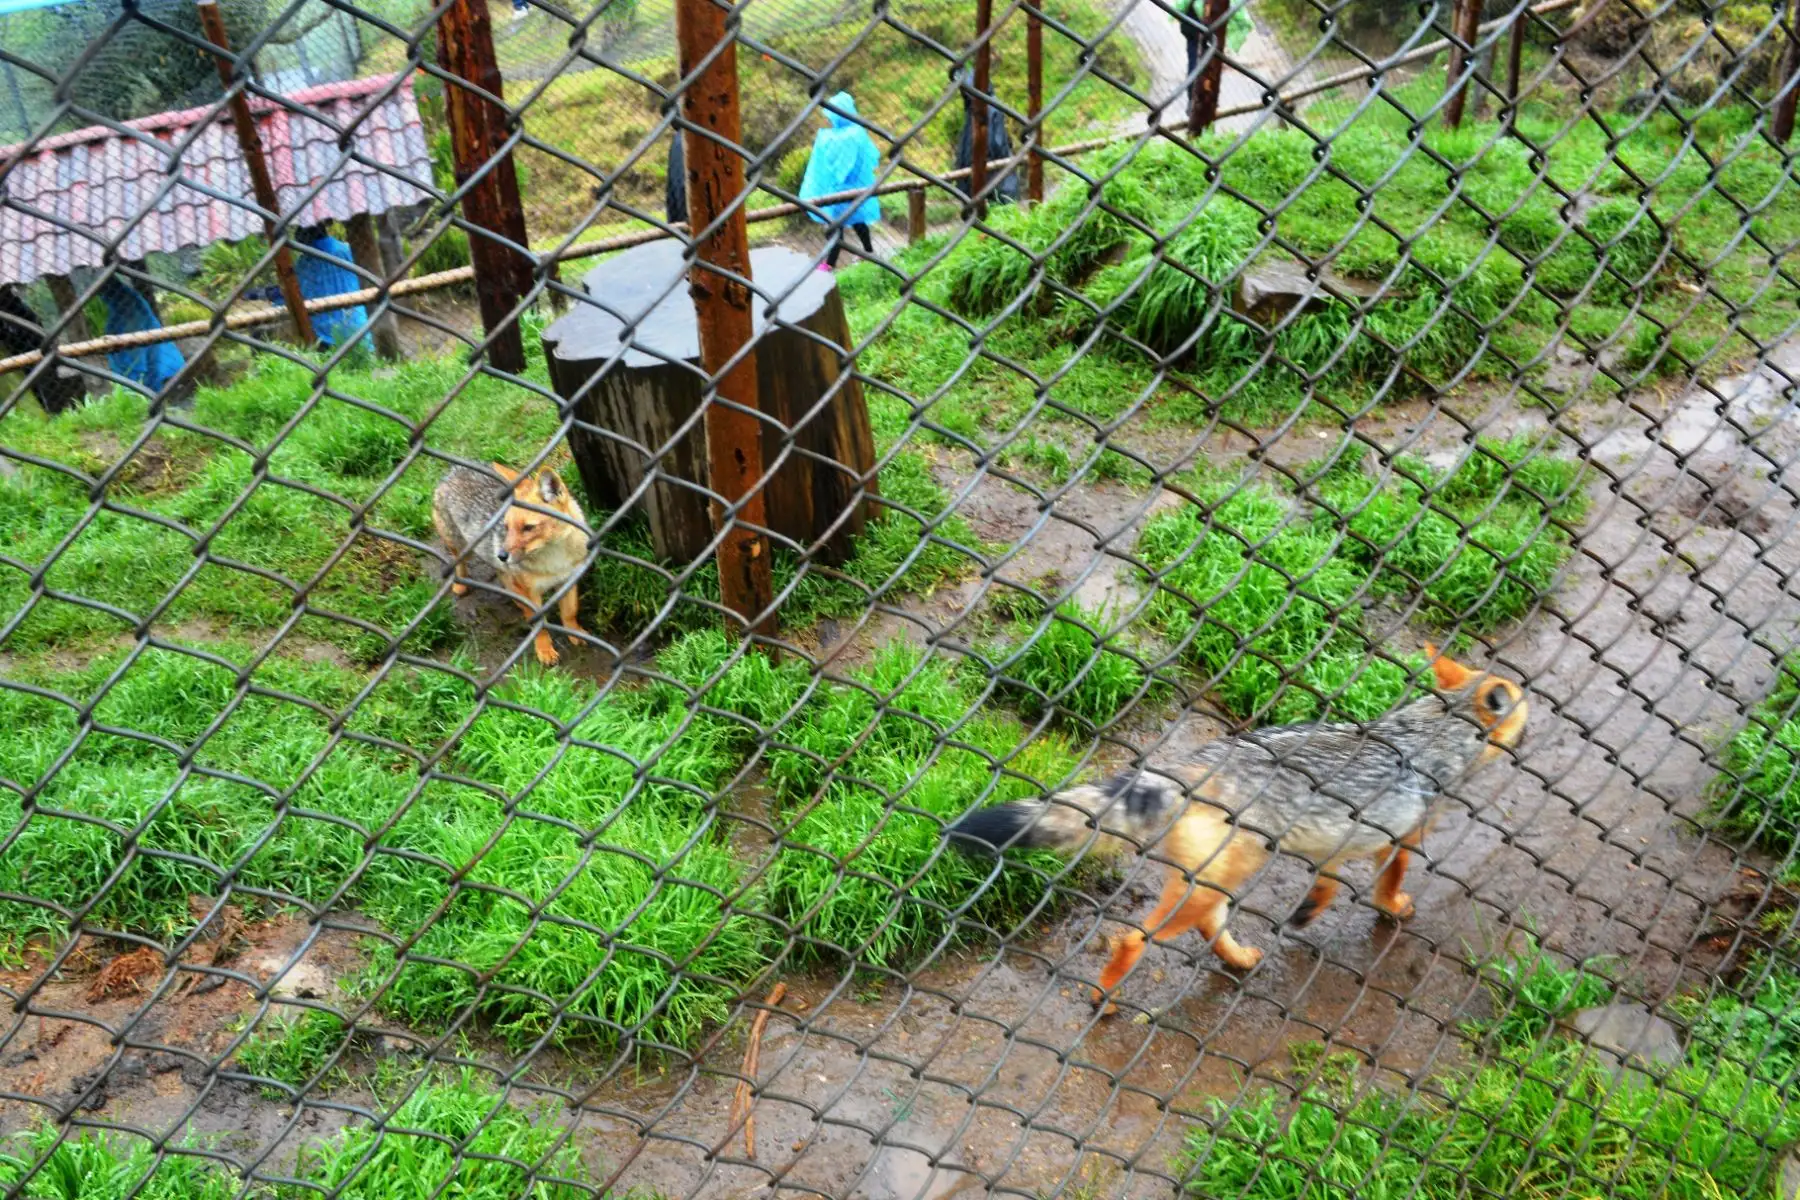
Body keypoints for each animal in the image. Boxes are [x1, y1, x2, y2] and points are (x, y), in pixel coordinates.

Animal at [432, 462, 590, 666]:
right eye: (506, 527)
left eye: (528, 527)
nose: (502, 555)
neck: (555, 560)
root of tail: (455, 468)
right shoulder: (530, 592)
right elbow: (539, 624)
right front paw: (544, 649)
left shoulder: (568, 579)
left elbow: (570, 612)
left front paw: (575, 632)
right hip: (462, 547)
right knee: (457, 561)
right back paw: (460, 584)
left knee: (502, 576)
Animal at [945, 647, 1528, 1009]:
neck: (1434, 734)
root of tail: (1192, 763)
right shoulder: (1402, 838)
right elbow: (1388, 884)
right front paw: (1394, 908)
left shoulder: (1336, 842)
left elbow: (1326, 885)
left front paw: (1307, 912)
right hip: (1210, 885)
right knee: (1132, 937)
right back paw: (1105, 997)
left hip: (1214, 881)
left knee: (1207, 929)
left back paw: (1240, 959)